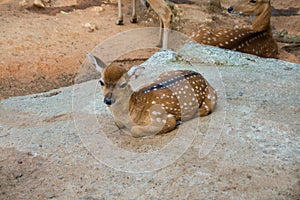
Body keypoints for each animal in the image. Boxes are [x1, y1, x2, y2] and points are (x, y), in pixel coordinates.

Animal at [86, 53, 216, 138]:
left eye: (123, 84)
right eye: (101, 82)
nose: (108, 100)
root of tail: (200, 74)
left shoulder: (161, 117)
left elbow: (134, 131)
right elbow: (117, 123)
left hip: (211, 99)